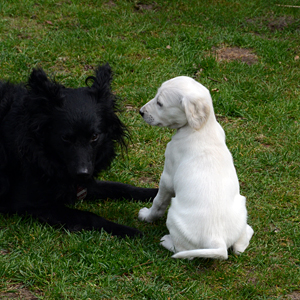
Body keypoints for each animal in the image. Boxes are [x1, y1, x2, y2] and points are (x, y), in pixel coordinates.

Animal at [0, 64, 158, 238]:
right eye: (65, 138)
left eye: (94, 136)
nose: (82, 173)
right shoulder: (29, 204)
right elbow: (88, 216)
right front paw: (128, 230)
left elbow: (121, 187)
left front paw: (154, 193)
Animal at [138, 76, 253, 258]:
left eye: (160, 103)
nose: (141, 112)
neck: (202, 128)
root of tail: (218, 241)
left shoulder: (167, 177)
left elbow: (158, 203)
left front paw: (146, 216)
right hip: (242, 206)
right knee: (243, 239)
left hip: (174, 217)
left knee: (185, 251)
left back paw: (166, 241)